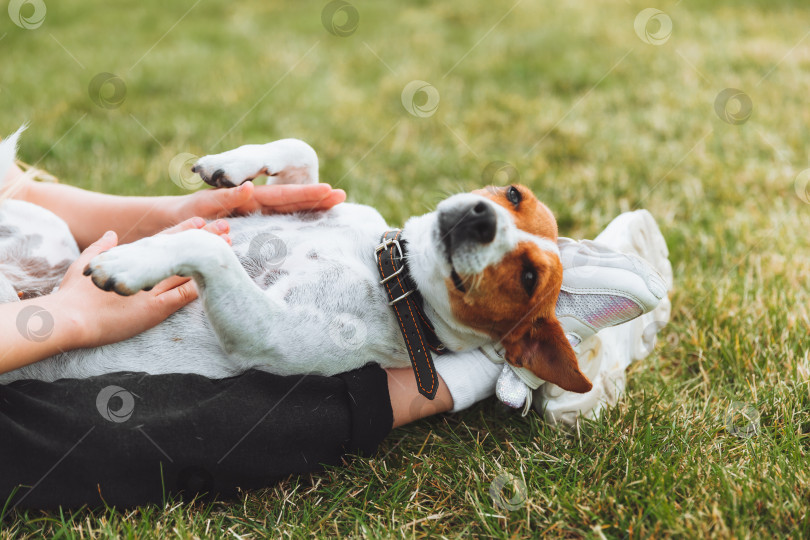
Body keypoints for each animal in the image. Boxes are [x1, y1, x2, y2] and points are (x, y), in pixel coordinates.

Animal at [0, 128, 592, 394]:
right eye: (513, 194)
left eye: (528, 276)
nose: (480, 216)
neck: (390, 272)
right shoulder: (309, 197)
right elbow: (301, 150)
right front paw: (228, 168)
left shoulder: (264, 333)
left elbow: (211, 248)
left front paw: (132, 263)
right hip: (48, 227)